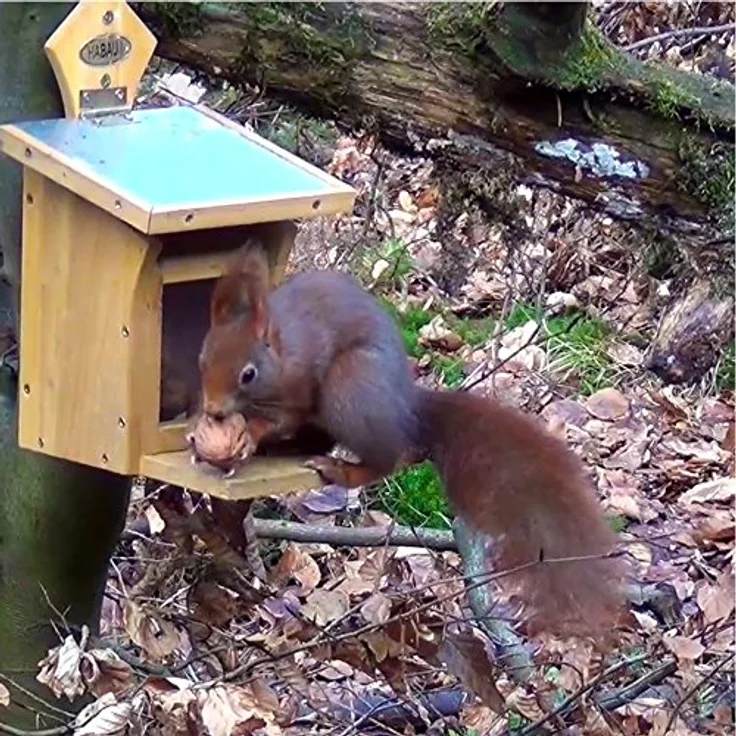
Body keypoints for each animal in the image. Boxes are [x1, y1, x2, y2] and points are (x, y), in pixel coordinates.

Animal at [195, 240, 629, 639]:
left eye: (248, 374)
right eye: (201, 358)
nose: (213, 410)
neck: (282, 349)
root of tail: (406, 410)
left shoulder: (296, 390)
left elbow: (278, 419)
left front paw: (248, 436)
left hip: (349, 388)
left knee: (386, 458)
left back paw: (340, 468)